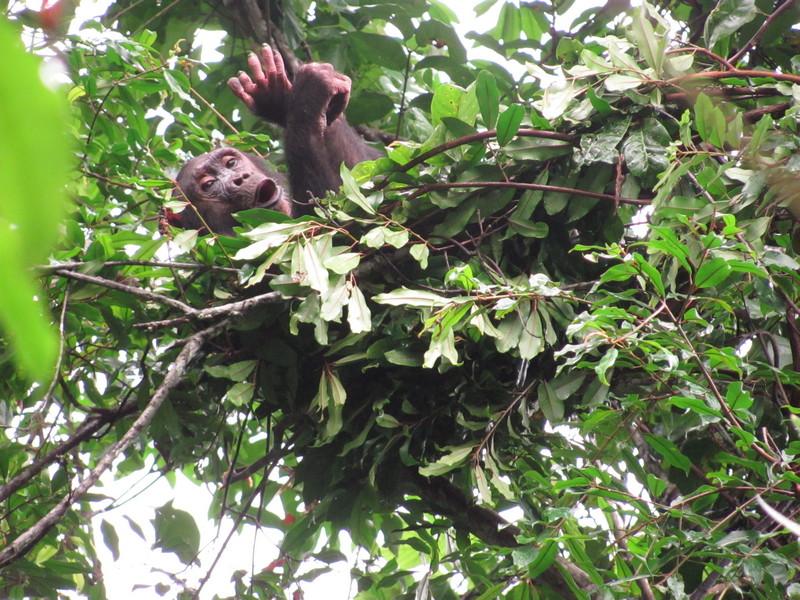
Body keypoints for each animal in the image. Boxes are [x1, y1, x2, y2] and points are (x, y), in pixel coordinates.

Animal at [169, 44, 382, 234]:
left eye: (230, 163)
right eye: (208, 184)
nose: (240, 178)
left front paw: (277, 97)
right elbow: (331, 214)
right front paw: (309, 93)